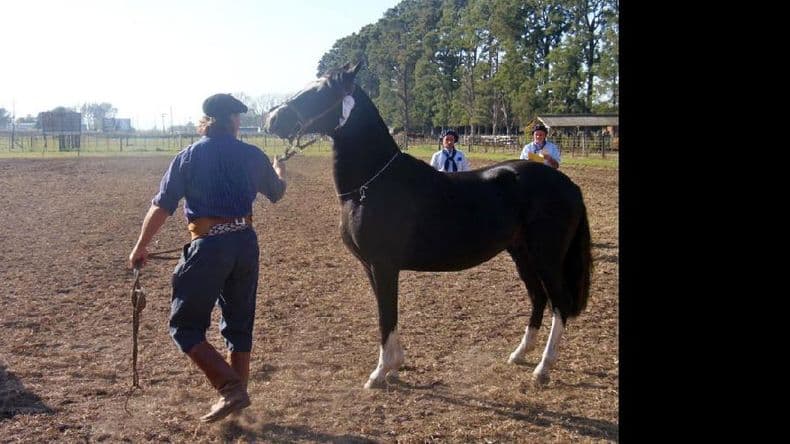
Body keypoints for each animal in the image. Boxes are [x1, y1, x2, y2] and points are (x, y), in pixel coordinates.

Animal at [263, 63, 592, 388]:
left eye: (320, 91)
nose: (272, 119)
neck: (372, 184)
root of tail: (570, 185)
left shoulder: (384, 265)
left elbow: (386, 315)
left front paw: (380, 372)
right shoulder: (371, 267)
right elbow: (387, 312)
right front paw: (395, 365)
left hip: (546, 257)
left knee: (559, 302)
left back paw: (543, 368)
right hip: (521, 253)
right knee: (539, 298)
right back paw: (519, 354)